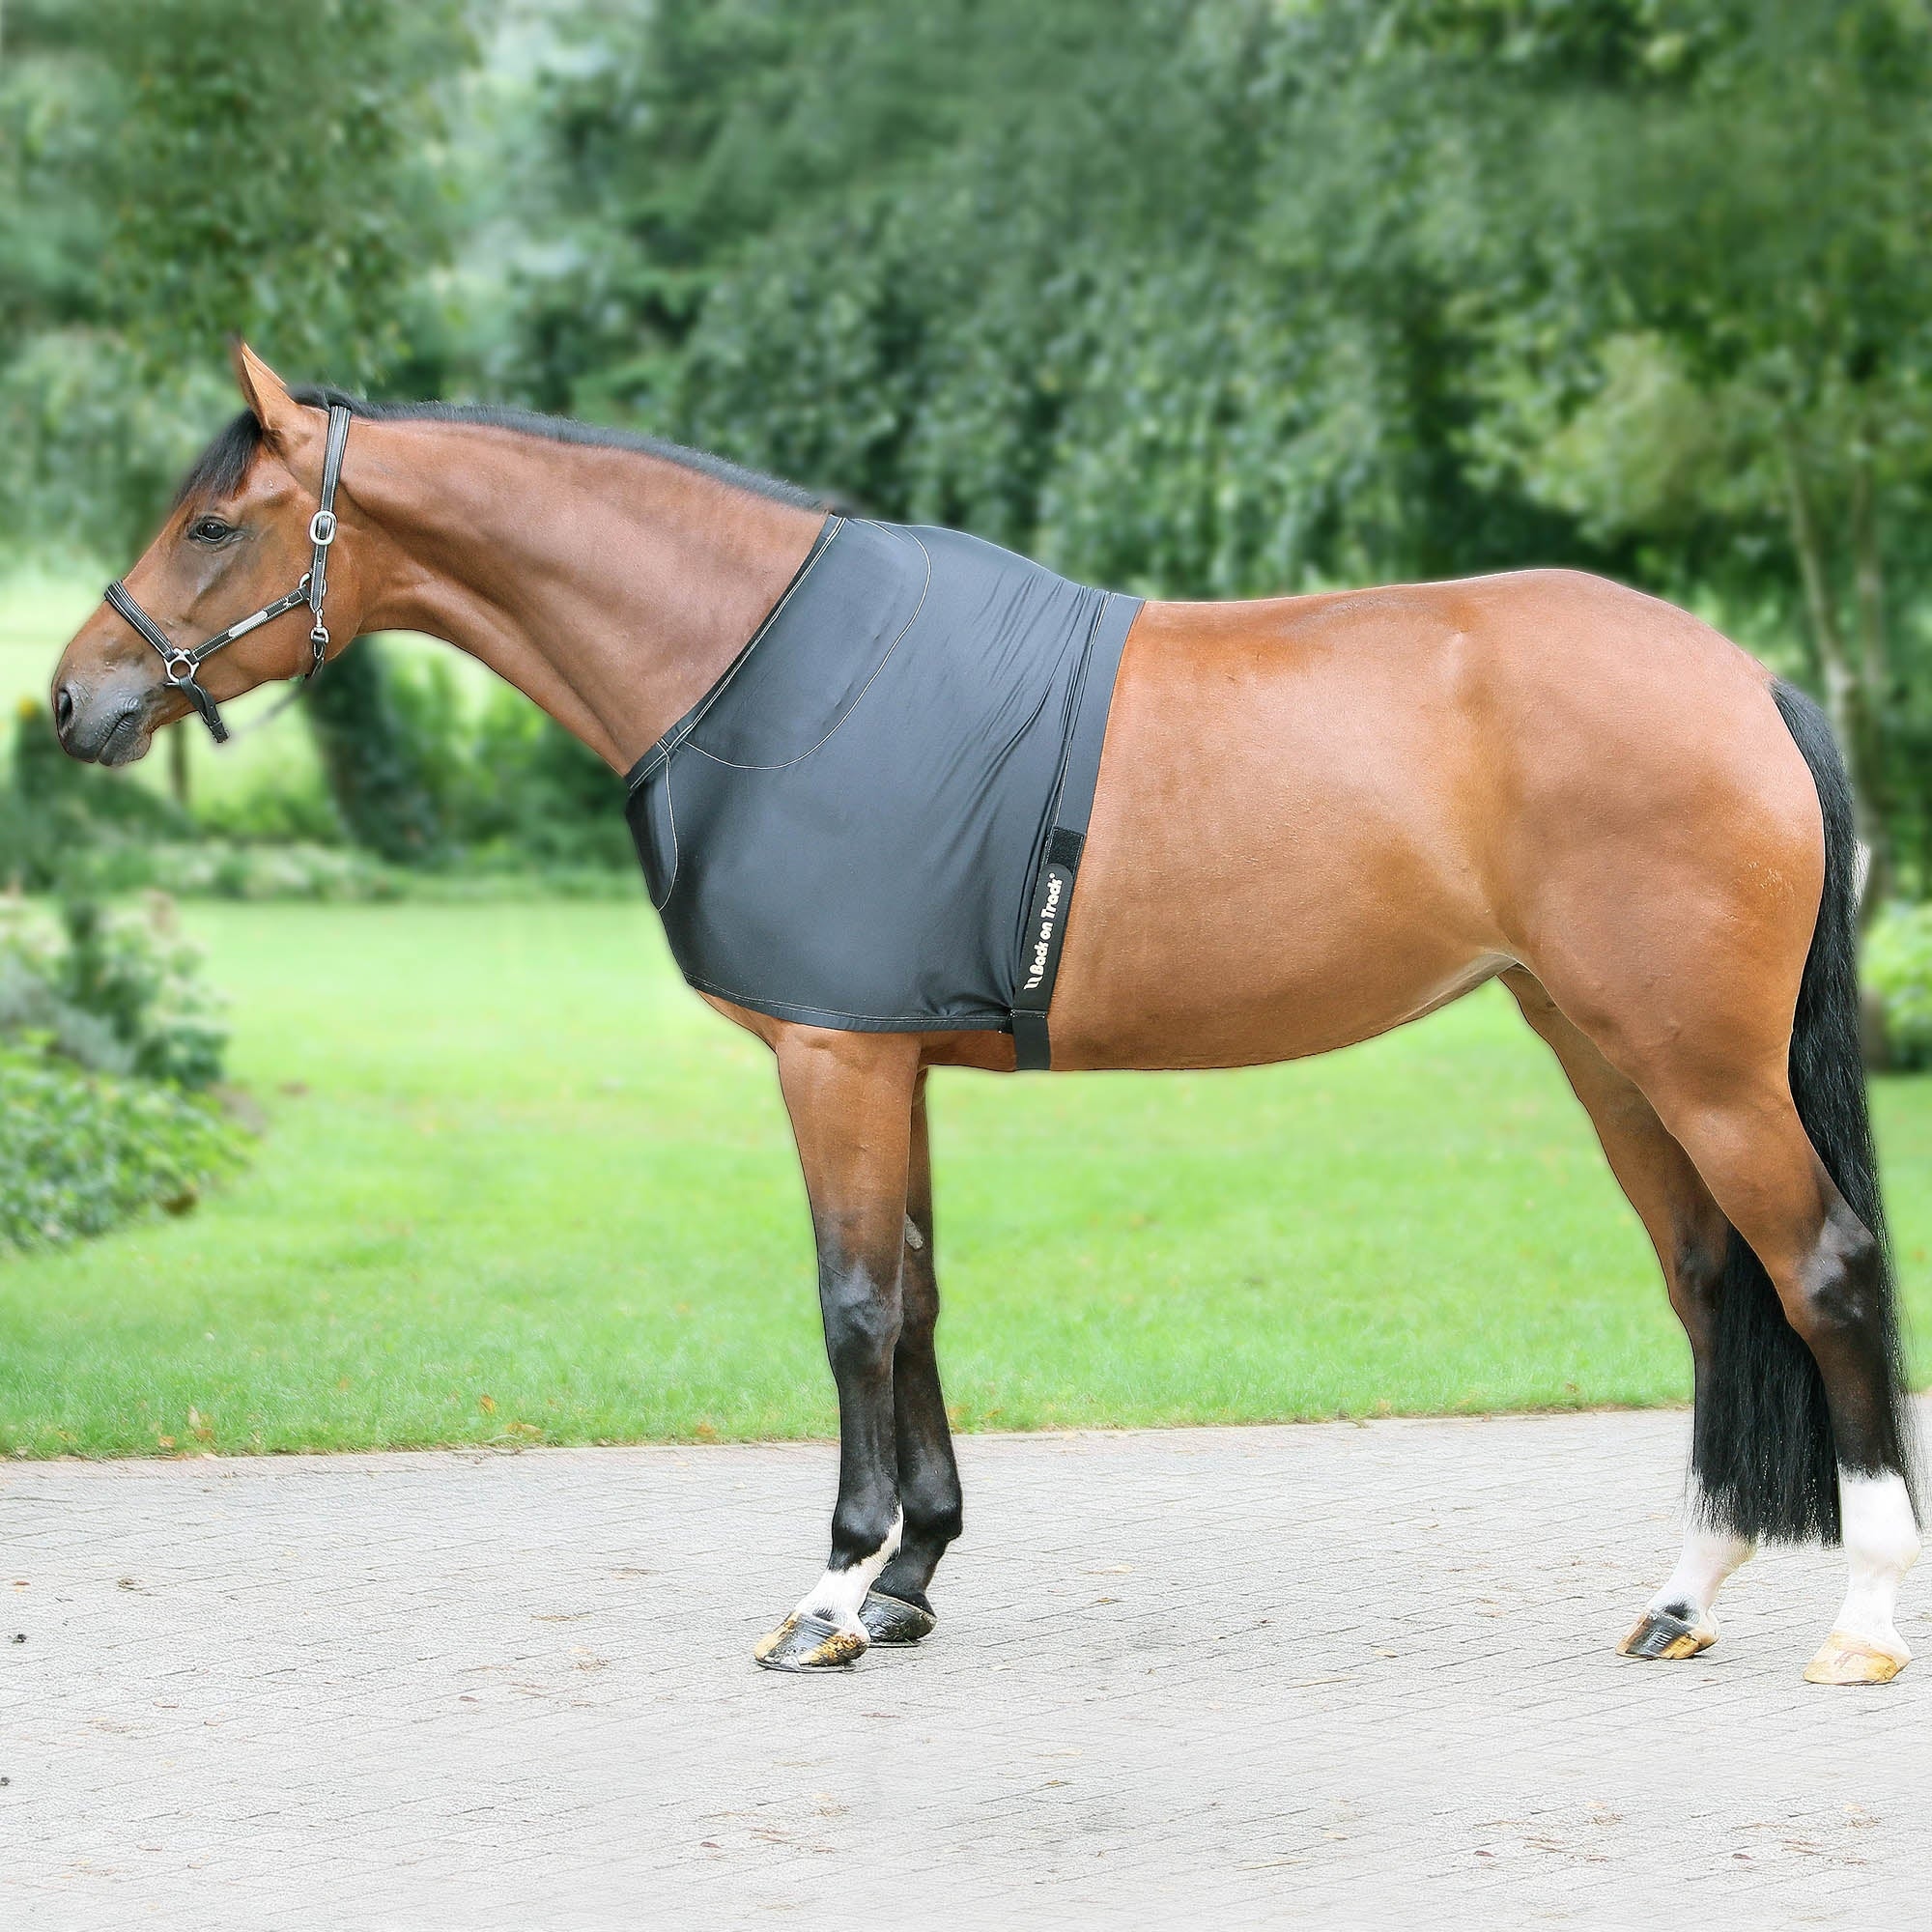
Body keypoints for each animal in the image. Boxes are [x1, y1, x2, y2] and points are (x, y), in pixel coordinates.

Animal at [51, 344, 1918, 1682]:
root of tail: (1743, 676)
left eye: (212, 524)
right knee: (1710, 1284)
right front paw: (914, 1578)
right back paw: (1685, 1592)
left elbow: (856, 1310)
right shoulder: (897, 1055)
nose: (75, 697)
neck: (750, 670)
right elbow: (923, 1298)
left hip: (1697, 1063)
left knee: (1817, 1270)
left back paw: (1861, 1619)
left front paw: (829, 1592)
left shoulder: (832, 1059)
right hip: (1600, 1049)